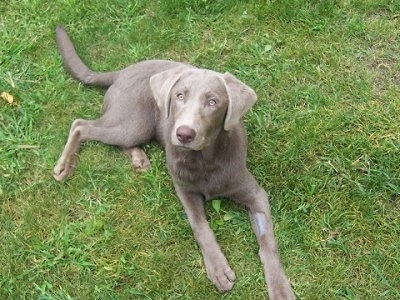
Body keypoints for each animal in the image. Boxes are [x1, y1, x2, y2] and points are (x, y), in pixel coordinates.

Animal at [54, 26, 294, 300]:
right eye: (180, 96)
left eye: (213, 102)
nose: (184, 134)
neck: (204, 159)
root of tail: (122, 71)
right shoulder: (185, 190)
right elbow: (201, 227)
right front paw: (218, 269)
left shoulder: (254, 193)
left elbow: (268, 243)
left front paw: (279, 287)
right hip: (134, 123)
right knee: (81, 124)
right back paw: (64, 166)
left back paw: (138, 159)